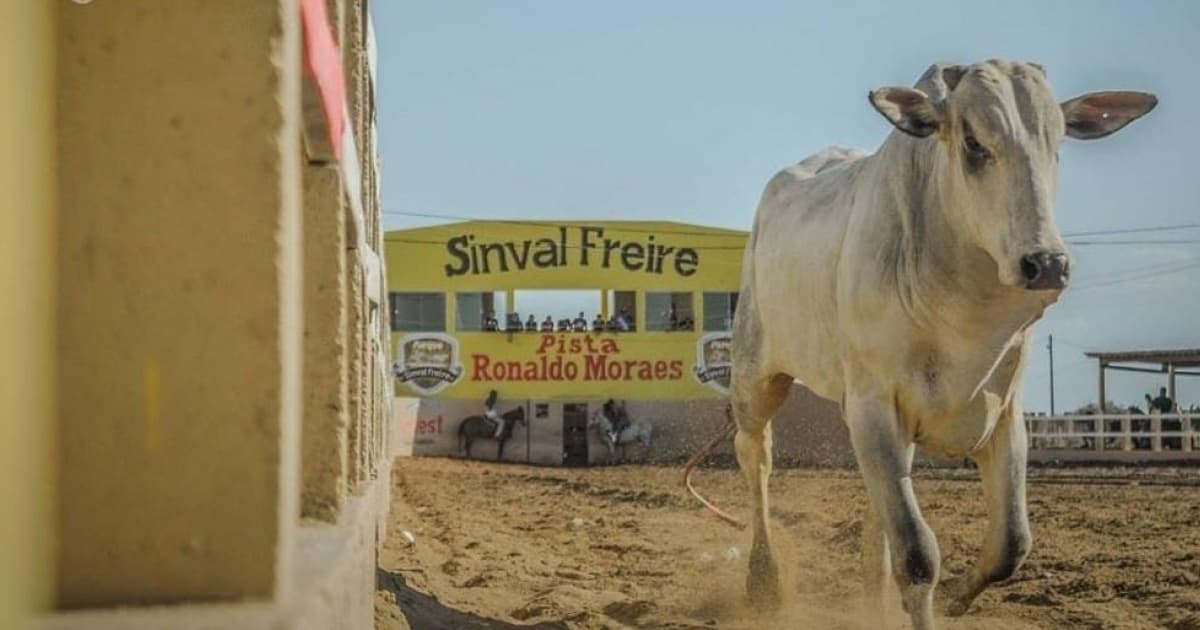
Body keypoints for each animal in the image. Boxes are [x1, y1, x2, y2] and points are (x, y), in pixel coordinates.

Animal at [724, 60, 1156, 628]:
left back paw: (873, 598)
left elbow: (1011, 545)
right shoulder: (874, 406)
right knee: (756, 459)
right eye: (973, 142)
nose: (1047, 264)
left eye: (1058, 141)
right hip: (756, 375)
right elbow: (917, 554)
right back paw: (764, 580)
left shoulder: (1004, 414)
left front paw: (956, 599)